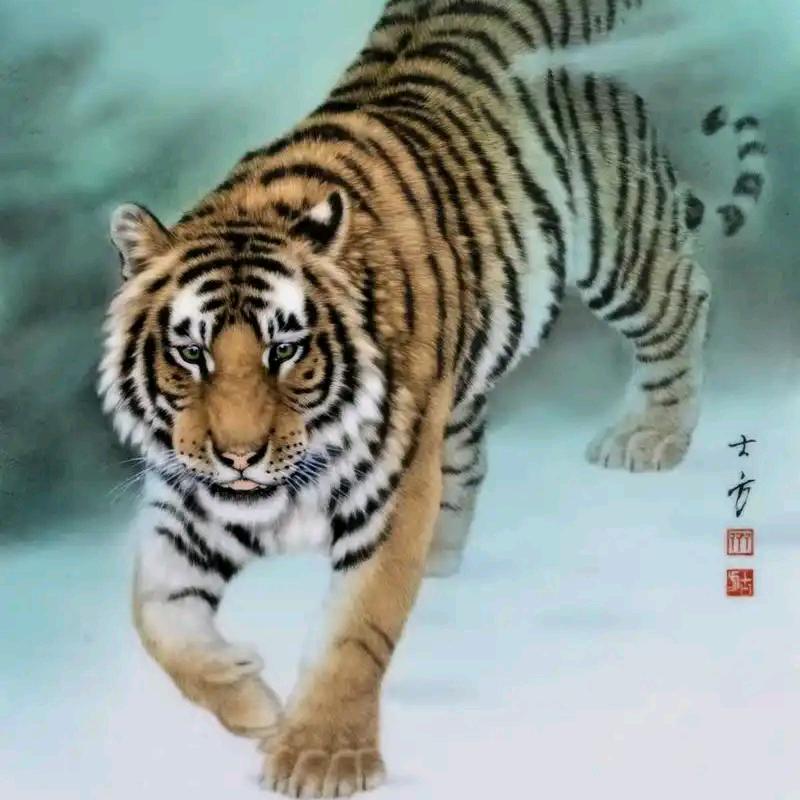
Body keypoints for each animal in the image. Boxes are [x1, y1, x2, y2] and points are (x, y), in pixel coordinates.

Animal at [98, 0, 767, 796]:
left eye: (284, 350)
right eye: (190, 353)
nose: (237, 457)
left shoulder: (386, 501)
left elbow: (354, 631)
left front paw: (321, 757)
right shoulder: (188, 502)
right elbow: (155, 617)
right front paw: (249, 696)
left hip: (616, 240)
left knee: (684, 300)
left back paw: (651, 435)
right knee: (468, 457)